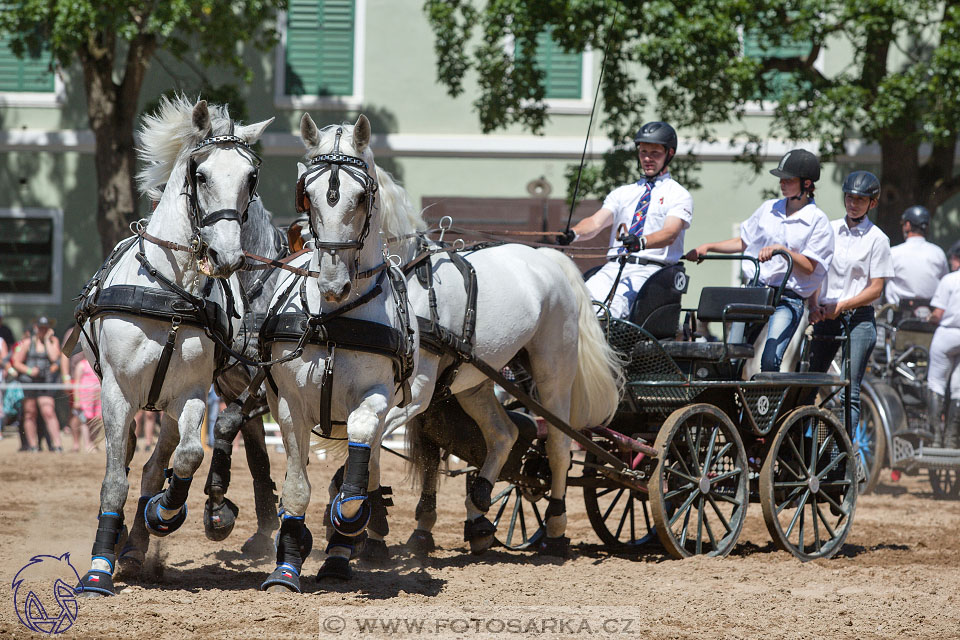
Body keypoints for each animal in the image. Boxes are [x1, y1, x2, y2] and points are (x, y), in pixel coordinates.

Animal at [72, 95, 270, 596]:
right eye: (200, 175)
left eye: (250, 177)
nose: (227, 257)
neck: (174, 292)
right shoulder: (117, 393)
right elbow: (114, 482)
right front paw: (99, 568)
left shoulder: (192, 393)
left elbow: (189, 455)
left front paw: (165, 511)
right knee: (126, 464)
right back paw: (120, 542)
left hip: (167, 403)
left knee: (156, 462)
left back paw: (138, 543)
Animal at [256, 115, 418, 596]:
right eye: (306, 194)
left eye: (362, 196)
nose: (333, 283)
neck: (334, 318)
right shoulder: (289, 406)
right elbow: (296, 488)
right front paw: (286, 567)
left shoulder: (376, 397)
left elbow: (353, 484)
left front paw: (348, 522)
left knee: (366, 467)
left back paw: (340, 554)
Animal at [368, 165, 624, 560]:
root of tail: (547, 258)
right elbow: (415, 456)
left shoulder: (417, 393)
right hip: (476, 380)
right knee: (505, 434)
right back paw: (479, 515)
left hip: (553, 373)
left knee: (559, 446)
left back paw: (555, 528)